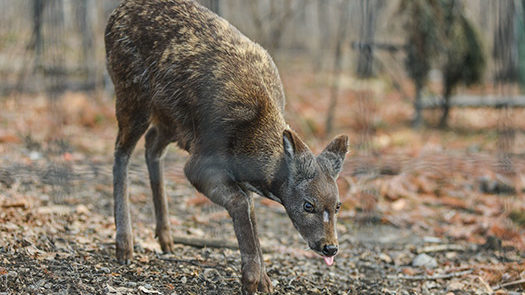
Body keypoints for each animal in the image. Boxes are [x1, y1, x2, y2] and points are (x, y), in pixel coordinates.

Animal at [104, 0, 348, 294]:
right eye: (308, 205)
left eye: (338, 205)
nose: (330, 247)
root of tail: (115, 14)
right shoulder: (199, 164)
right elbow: (240, 203)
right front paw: (251, 278)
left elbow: (251, 211)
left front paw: (264, 280)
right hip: (131, 92)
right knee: (121, 152)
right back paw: (124, 245)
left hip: (171, 121)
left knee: (151, 145)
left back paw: (165, 238)